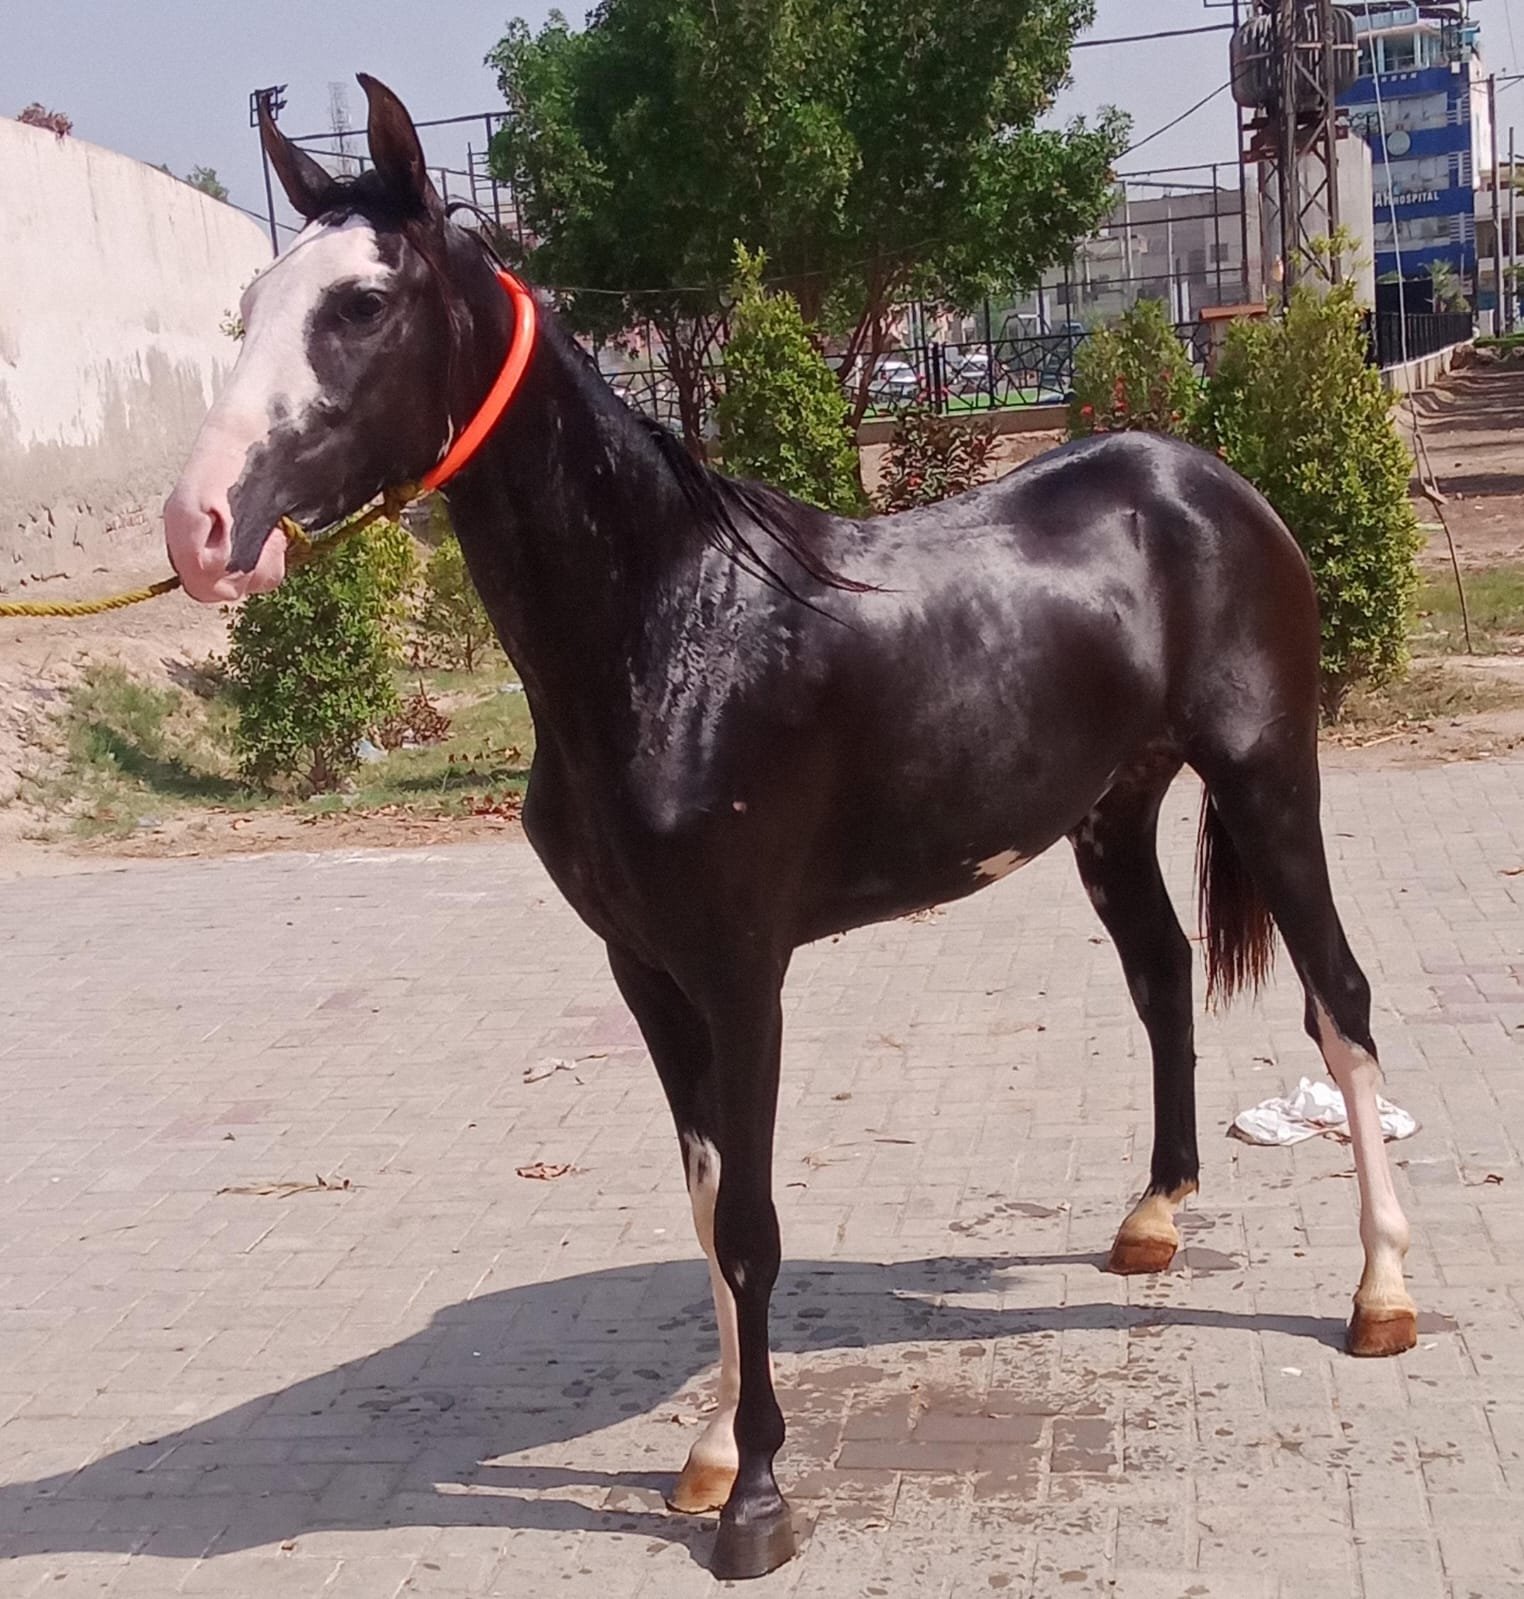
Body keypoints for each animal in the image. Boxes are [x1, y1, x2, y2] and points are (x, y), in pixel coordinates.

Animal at [163, 75, 1418, 1581]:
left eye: (359, 302)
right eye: (251, 301)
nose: (199, 524)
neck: (671, 632)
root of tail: (1207, 481)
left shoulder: (740, 969)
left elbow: (755, 1222)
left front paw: (759, 1498)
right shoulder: (645, 976)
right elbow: (708, 1211)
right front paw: (709, 1453)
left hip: (1270, 777)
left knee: (1340, 1001)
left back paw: (1382, 1294)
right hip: (1112, 812)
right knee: (1164, 976)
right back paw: (1154, 1216)